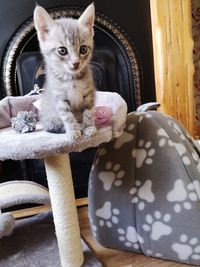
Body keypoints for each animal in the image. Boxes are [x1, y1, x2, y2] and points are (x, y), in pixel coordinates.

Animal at [33, 3, 97, 140]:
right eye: (62, 50)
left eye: (83, 49)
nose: (76, 63)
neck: (71, 79)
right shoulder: (60, 97)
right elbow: (67, 116)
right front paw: (73, 130)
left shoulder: (89, 94)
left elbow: (88, 112)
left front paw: (89, 127)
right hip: (51, 118)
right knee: (54, 125)